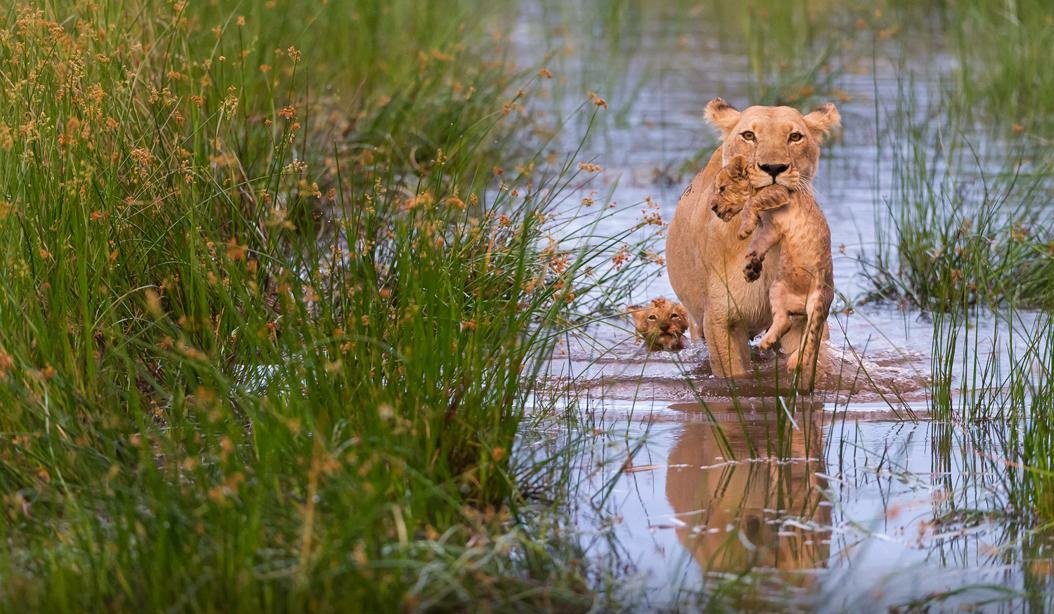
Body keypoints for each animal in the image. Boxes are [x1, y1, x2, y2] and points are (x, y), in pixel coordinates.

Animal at [666, 97, 839, 385]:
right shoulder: (720, 320)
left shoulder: (804, 316)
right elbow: (734, 379)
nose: (774, 168)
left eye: (795, 137)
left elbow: (806, 361)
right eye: (749, 135)